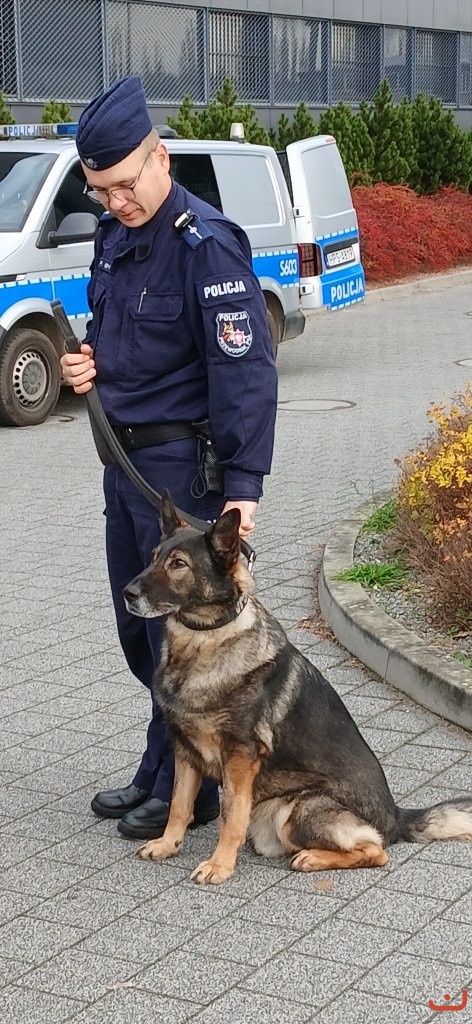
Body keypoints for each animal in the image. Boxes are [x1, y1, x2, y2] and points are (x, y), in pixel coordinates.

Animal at [123, 492, 472, 885]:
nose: (127, 593)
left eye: (179, 564)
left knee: (375, 850)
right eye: (154, 557)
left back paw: (312, 858)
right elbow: (179, 806)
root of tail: (397, 816)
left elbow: (230, 816)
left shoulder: (240, 757)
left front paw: (220, 864)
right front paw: (167, 844)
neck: (204, 640)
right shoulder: (185, 751)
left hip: (297, 807)